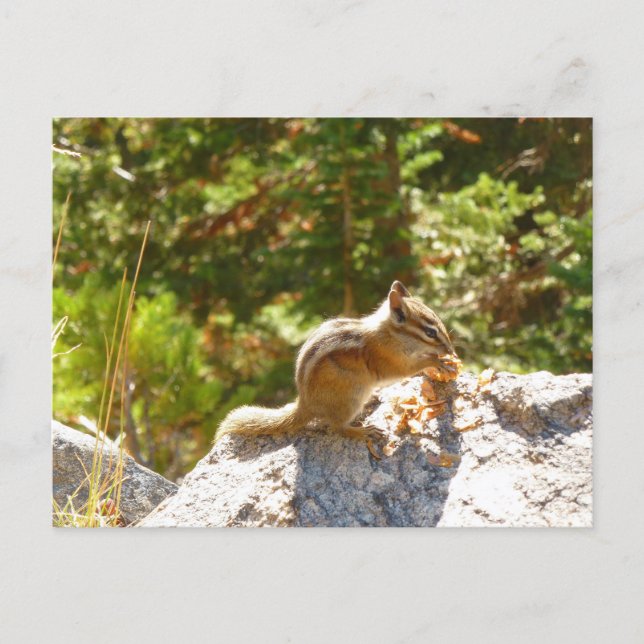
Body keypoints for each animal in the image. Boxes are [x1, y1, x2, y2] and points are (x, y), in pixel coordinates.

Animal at [215, 281, 456, 442]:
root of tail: (305, 404)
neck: (390, 334)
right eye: (430, 332)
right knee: (337, 427)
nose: (450, 349)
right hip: (350, 397)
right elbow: (411, 367)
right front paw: (436, 361)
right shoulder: (390, 361)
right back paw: (362, 431)